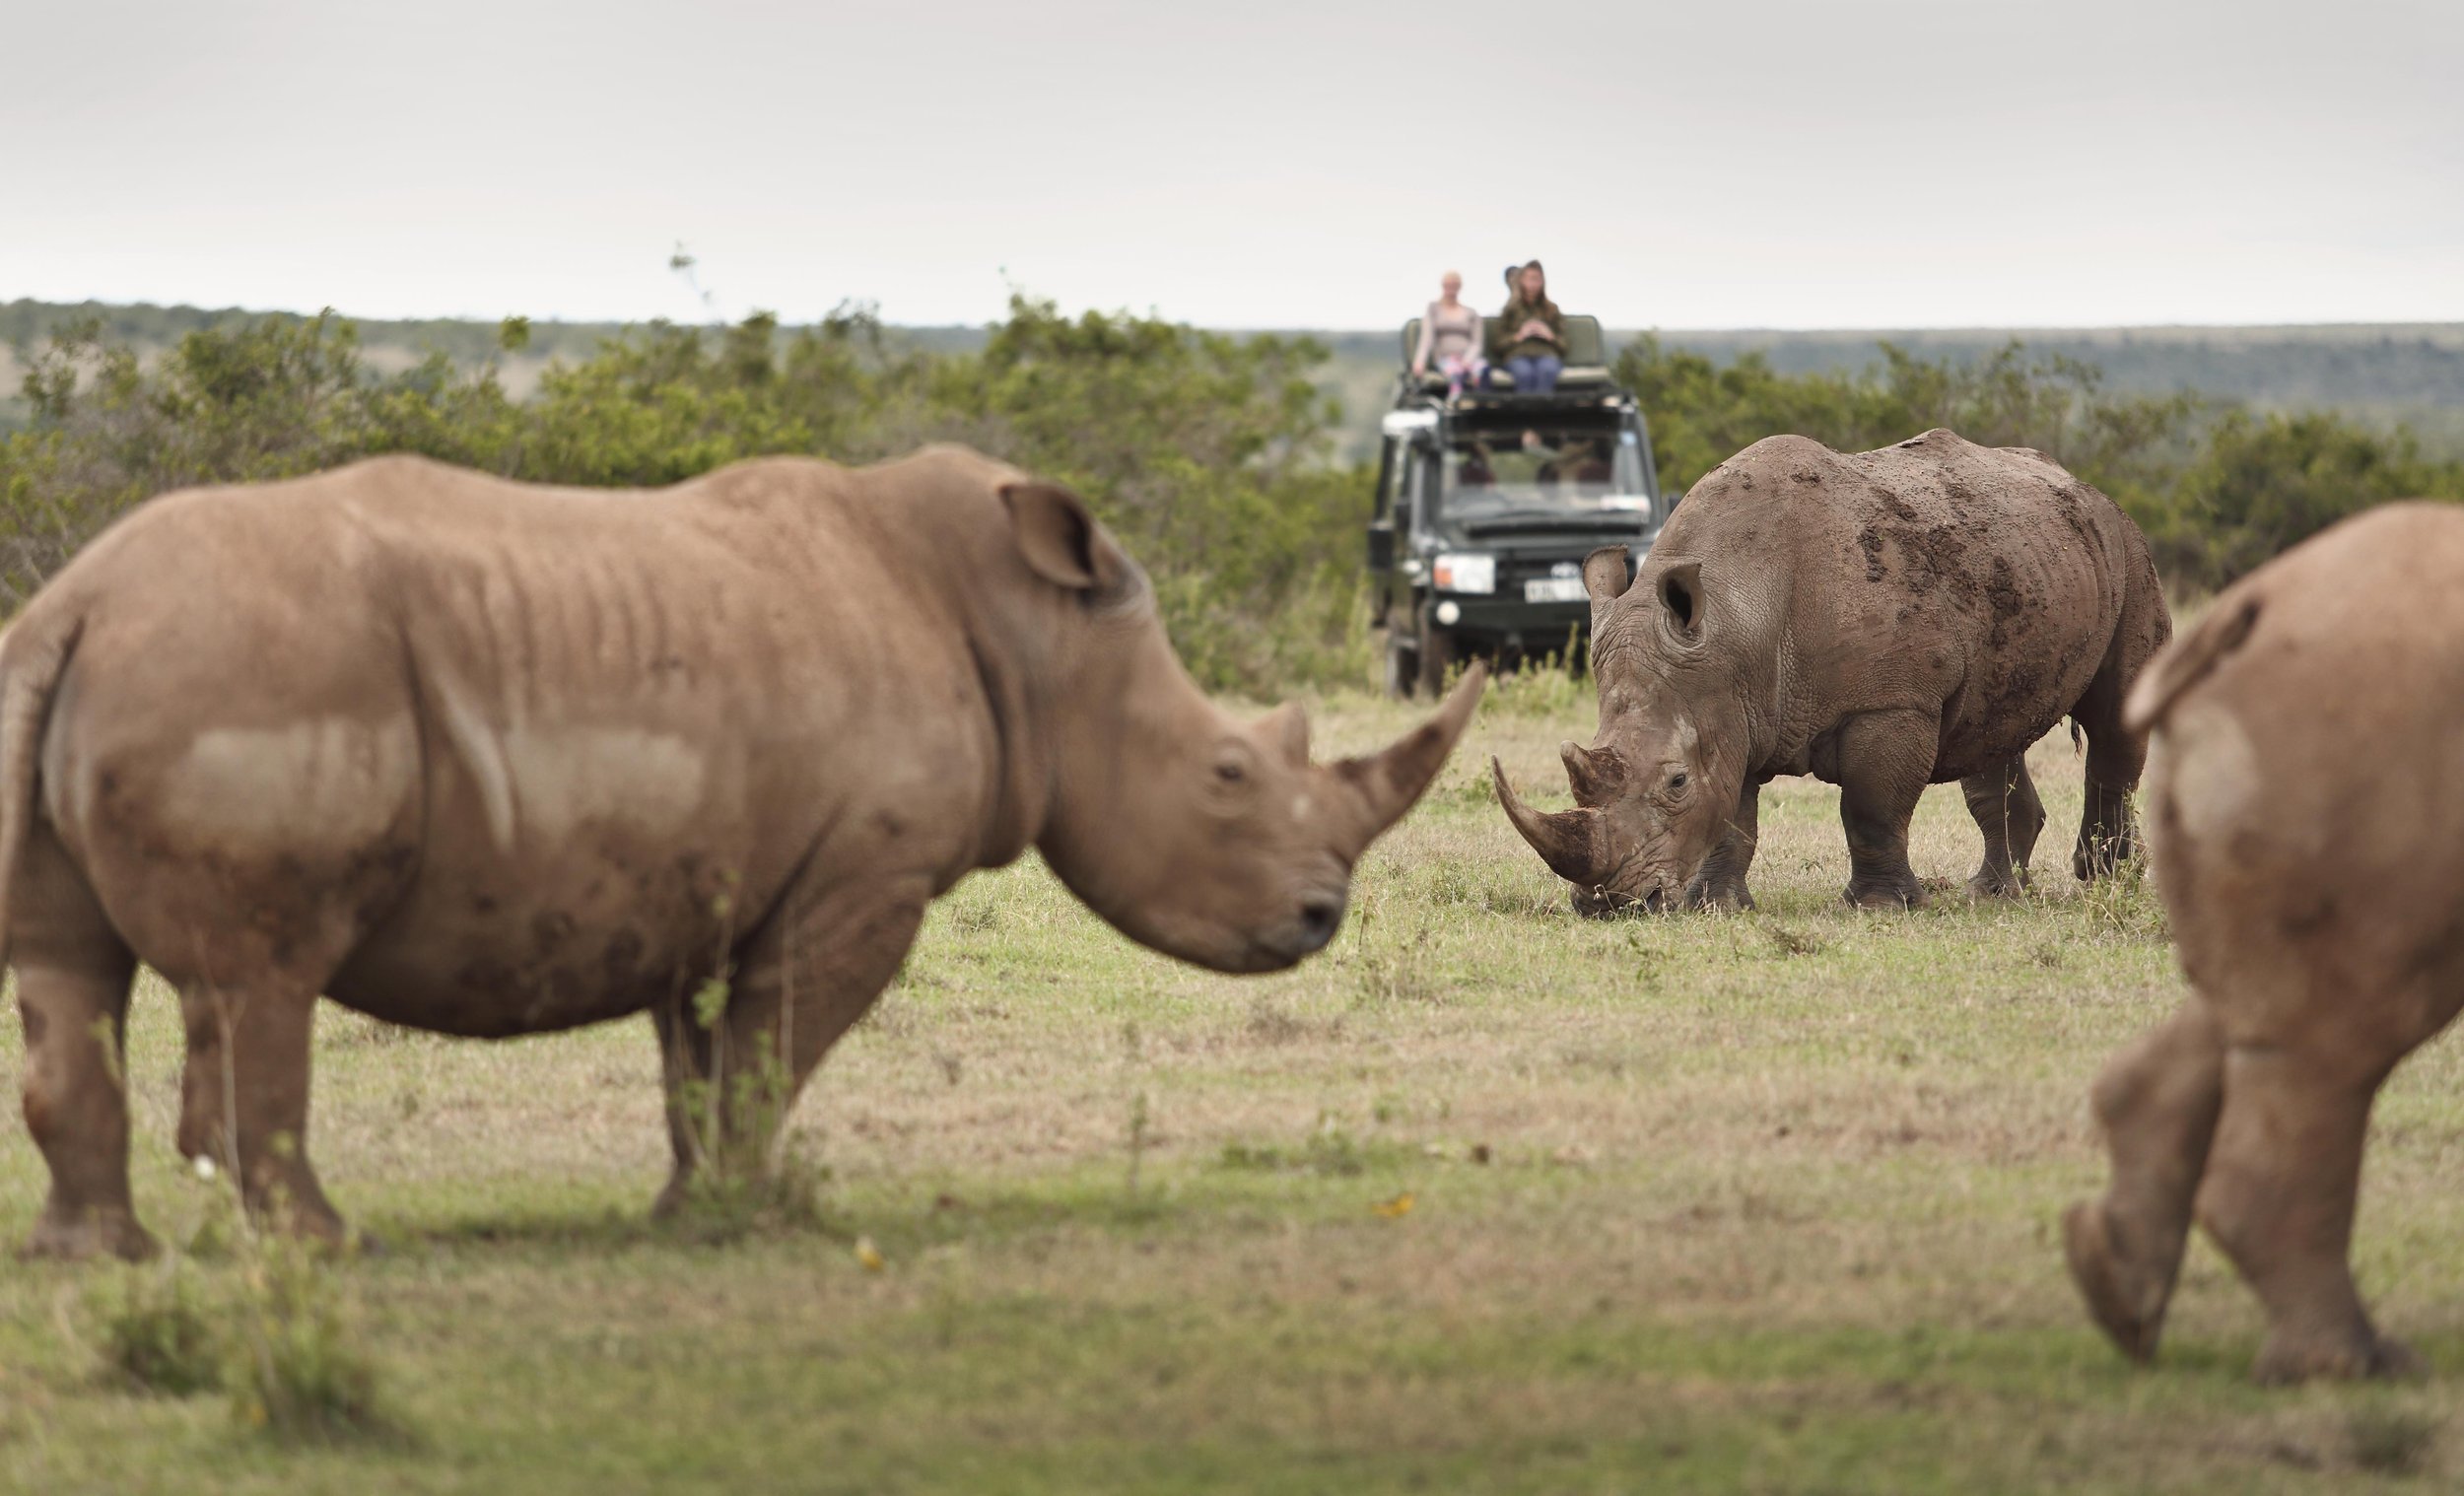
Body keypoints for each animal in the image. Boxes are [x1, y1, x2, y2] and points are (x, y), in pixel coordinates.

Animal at [4, 443, 1478, 1252]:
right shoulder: (861, 876)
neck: (1034, 639)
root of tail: (74, 605)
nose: (1319, 918)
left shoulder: (694, 872)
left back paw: (100, 1260)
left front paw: (686, 1214)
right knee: (264, 979)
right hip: (241, 670)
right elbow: (776, 1048)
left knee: (70, 971)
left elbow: (698, 1061)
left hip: (121, 668)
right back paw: (328, 1246)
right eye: (1229, 774)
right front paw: (745, 1217)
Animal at [1488, 424, 2168, 912]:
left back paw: (2104, 881)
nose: (1608, 905)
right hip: (2031, 564)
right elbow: (1734, 813)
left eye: (1676, 782)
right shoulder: (1733, 706)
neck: (1736, 619)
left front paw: (1882, 908)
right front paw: (1718, 906)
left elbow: (1869, 808)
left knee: (2113, 721)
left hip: (2129, 552)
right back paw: (1993, 895)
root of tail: (2086, 488)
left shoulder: (1891, 702)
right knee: (1993, 735)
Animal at [2070, 503, 2454, 1380]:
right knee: (2341, 1029)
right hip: (2349, 733)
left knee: (2267, 1006)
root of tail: (2244, 616)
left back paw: (2117, 1295)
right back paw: (2347, 1367)